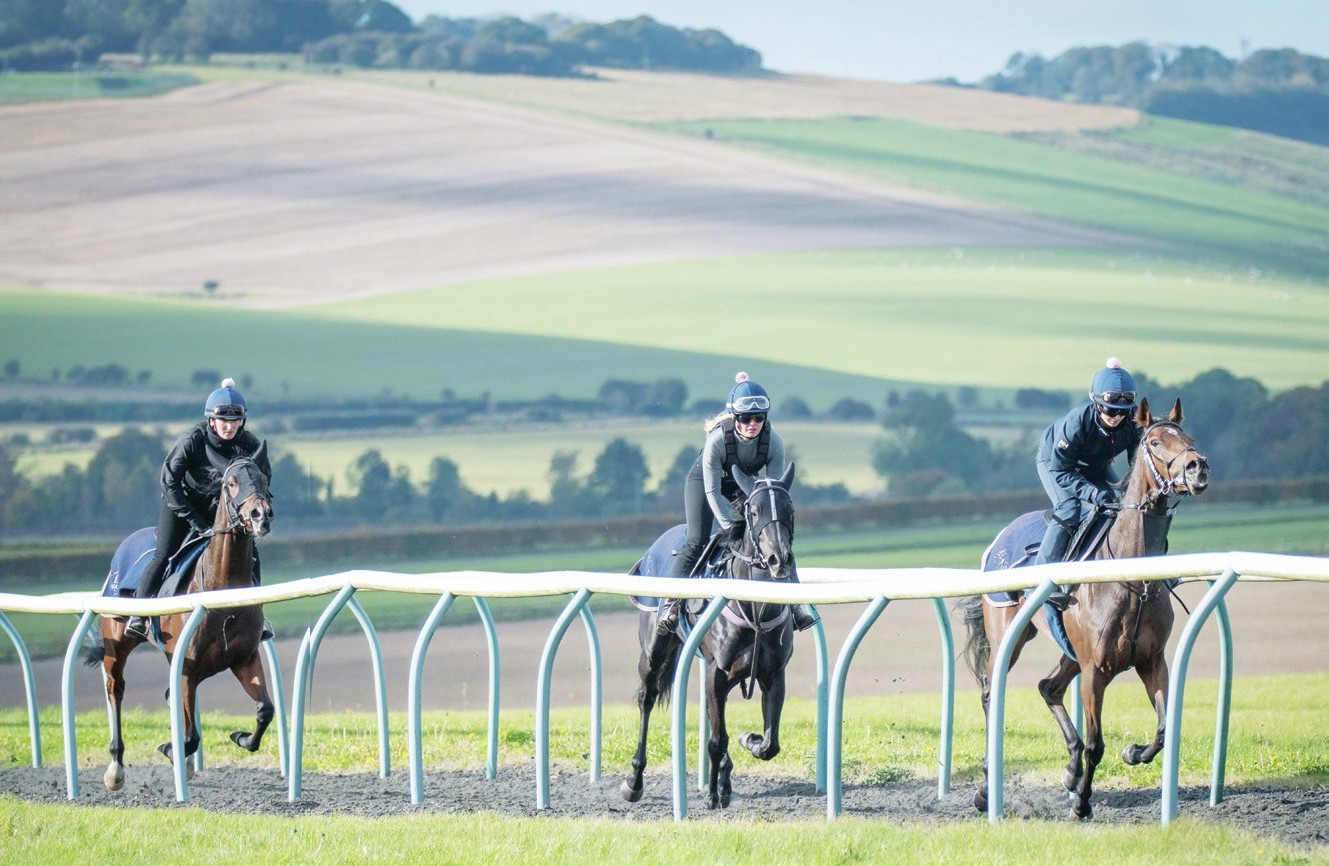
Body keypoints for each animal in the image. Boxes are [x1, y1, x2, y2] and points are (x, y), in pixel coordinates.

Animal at [87, 446, 275, 791]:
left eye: (264, 478)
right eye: (230, 482)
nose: (261, 515)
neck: (220, 597)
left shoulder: (244, 658)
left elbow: (265, 710)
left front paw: (241, 737)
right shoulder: (187, 669)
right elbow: (190, 737)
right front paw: (171, 749)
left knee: (166, 696)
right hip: (116, 642)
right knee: (115, 687)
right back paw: (115, 769)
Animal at [616, 462, 792, 807]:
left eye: (789, 509)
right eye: (754, 511)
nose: (779, 559)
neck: (754, 607)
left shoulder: (773, 674)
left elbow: (770, 743)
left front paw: (748, 741)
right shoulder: (716, 671)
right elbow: (716, 739)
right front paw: (711, 795)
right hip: (653, 653)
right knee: (647, 699)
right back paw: (635, 779)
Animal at [962, 398, 1212, 818]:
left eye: (1189, 438)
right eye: (1155, 442)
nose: (1198, 467)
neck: (1133, 580)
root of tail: (998, 540)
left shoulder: (1151, 661)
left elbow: (1163, 729)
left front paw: (1132, 753)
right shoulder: (1096, 669)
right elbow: (1097, 744)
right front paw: (1081, 803)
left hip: (1069, 648)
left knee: (1048, 687)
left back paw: (1068, 769)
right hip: (1010, 636)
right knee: (989, 692)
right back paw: (985, 787)